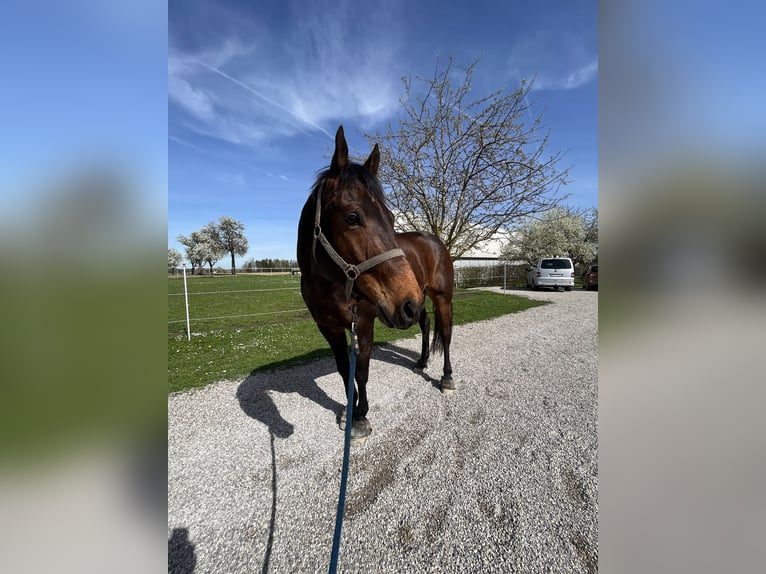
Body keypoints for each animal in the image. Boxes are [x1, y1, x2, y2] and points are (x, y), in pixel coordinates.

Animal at [298, 126, 456, 444]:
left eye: (391, 217)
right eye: (352, 217)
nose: (404, 303)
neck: (330, 283)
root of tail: (434, 241)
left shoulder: (364, 322)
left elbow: (361, 371)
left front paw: (360, 417)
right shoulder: (329, 328)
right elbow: (344, 369)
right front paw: (348, 412)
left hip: (438, 298)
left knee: (445, 334)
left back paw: (446, 378)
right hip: (418, 300)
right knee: (425, 323)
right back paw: (421, 362)